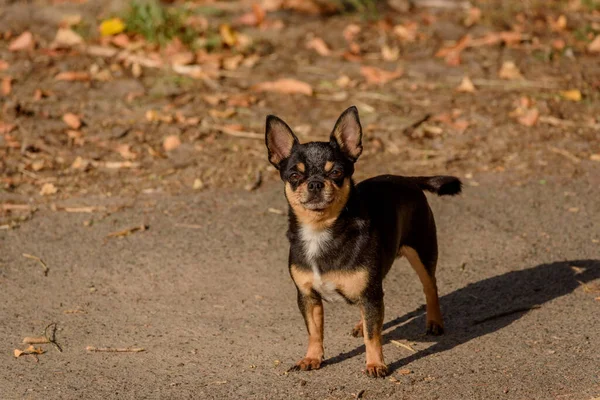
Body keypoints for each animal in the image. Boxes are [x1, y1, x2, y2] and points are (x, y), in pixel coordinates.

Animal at [264, 106, 462, 378]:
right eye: (294, 175)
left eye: (336, 172)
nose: (315, 183)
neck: (320, 231)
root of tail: (408, 179)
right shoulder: (308, 297)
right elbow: (315, 331)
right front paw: (312, 358)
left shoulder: (370, 294)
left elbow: (373, 335)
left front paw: (375, 364)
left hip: (422, 253)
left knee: (430, 287)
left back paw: (434, 322)